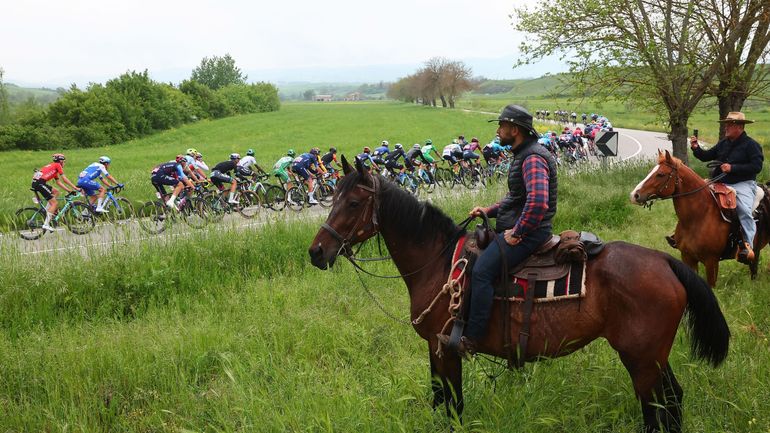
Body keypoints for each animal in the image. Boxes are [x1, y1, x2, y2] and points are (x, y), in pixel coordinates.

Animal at [308, 156, 728, 432]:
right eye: (333, 198)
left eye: (354, 202)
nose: (316, 252)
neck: (436, 262)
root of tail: (664, 261)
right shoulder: (434, 348)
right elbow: (441, 398)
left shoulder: (446, 348)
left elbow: (453, 403)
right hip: (652, 356)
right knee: (671, 400)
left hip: (641, 358)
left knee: (657, 406)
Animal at [632, 149, 760, 286]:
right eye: (651, 171)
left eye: (660, 174)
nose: (634, 195)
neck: (698, 218)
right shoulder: (687, 257)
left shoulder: (711, 262)